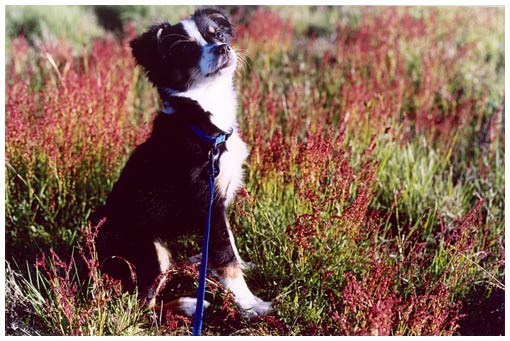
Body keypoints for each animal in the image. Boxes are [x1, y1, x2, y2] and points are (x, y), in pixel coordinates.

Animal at [94, 7, 272, 316]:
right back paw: (190, 304)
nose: (223, 47)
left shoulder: (219, 205)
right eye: (187, 50)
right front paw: (250, 304)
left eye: (218, 34)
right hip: (151, 249)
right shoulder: (207, 205)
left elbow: (230, 244)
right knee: (142, 306)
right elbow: (225, 257)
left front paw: (242, 269)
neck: (206, 123)